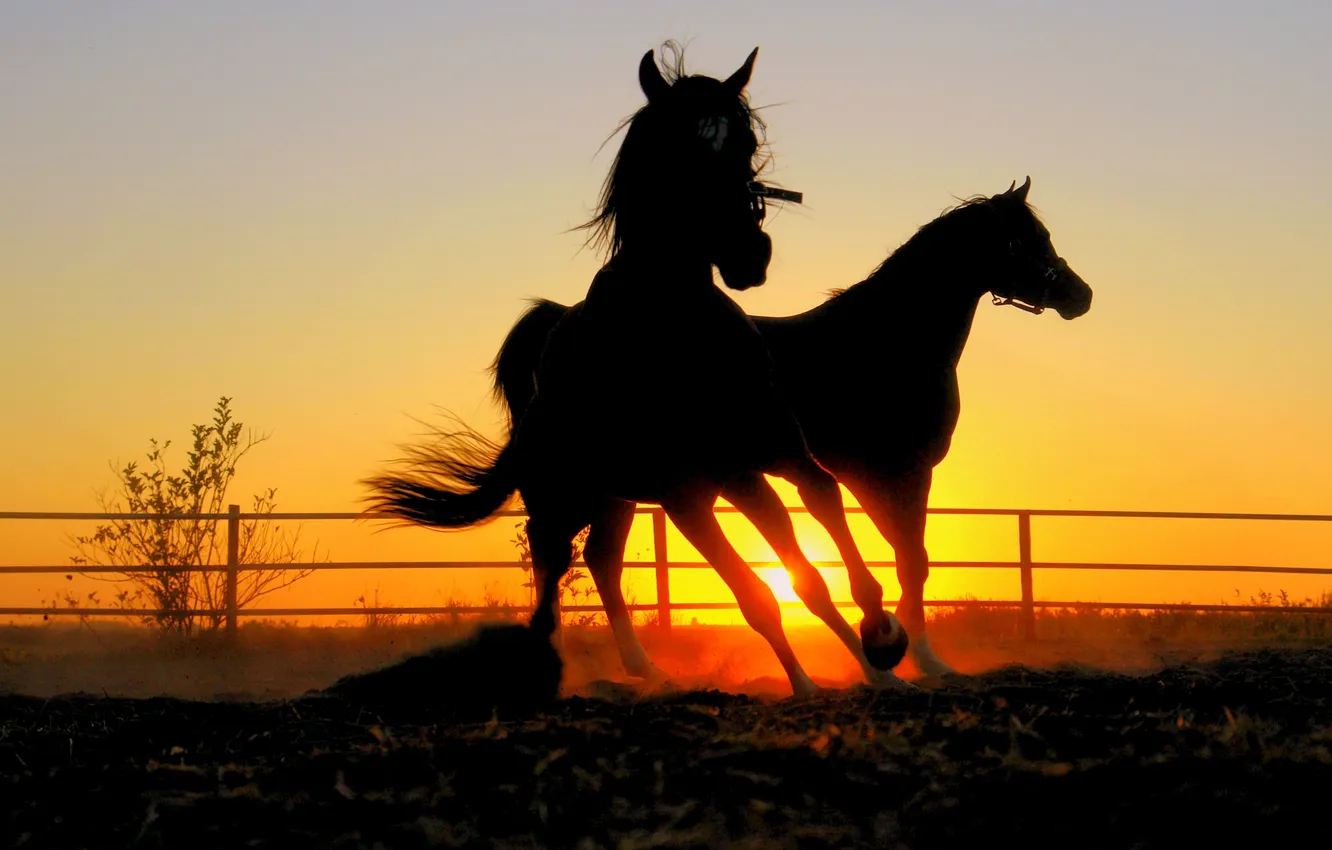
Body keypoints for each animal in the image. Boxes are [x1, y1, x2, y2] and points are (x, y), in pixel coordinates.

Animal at [362, 43, 905, 703]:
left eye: (745, 142)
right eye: (679, 148)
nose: (750, 253)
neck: (680, 328)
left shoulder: (773, 456)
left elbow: (821, 521)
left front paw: (881, 640)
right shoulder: (685, 495)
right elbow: (756, 596)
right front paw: (806, 683)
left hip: (634, 496)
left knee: (604, 558)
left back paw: (648, 668)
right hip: (564, 497)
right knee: (552, 561)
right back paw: (553, 664)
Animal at [490, 175, 1092, 682]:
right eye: (1028, 240)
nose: (1079, 295)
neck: (886, 339)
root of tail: (562, 326)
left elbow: (906, 561)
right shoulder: (890, 473)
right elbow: (912, 562)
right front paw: (918, 656)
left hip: (620, 491)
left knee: (597, 560)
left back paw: (641, 669)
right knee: (557, 549)